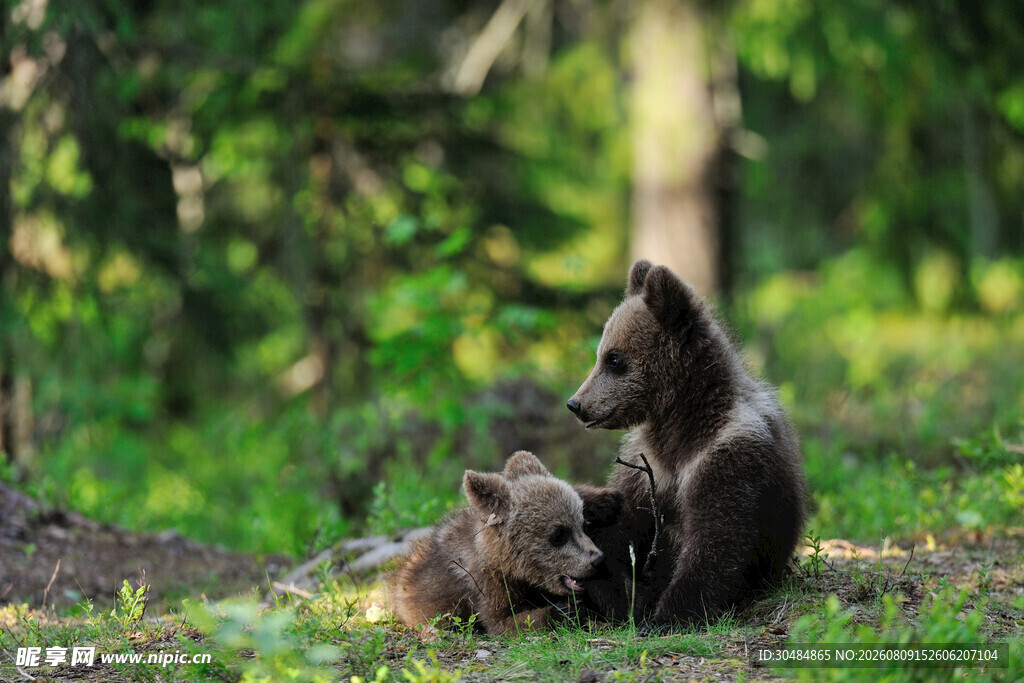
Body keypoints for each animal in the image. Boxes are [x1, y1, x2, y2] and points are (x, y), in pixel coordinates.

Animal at [391, 450, 622, 635]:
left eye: (582, 524)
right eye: (558, 535)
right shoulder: (488, 586)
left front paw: (605, 499)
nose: (597, 559)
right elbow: (503, 622)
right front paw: (566, 611)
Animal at [566, 258, 808, 627]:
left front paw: (670, 612)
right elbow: (621, 527)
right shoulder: (644, 467)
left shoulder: (729, 456)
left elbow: (716, 540)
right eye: (600, 355)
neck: (681, 426)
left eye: (614, 359)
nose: (576, 404)